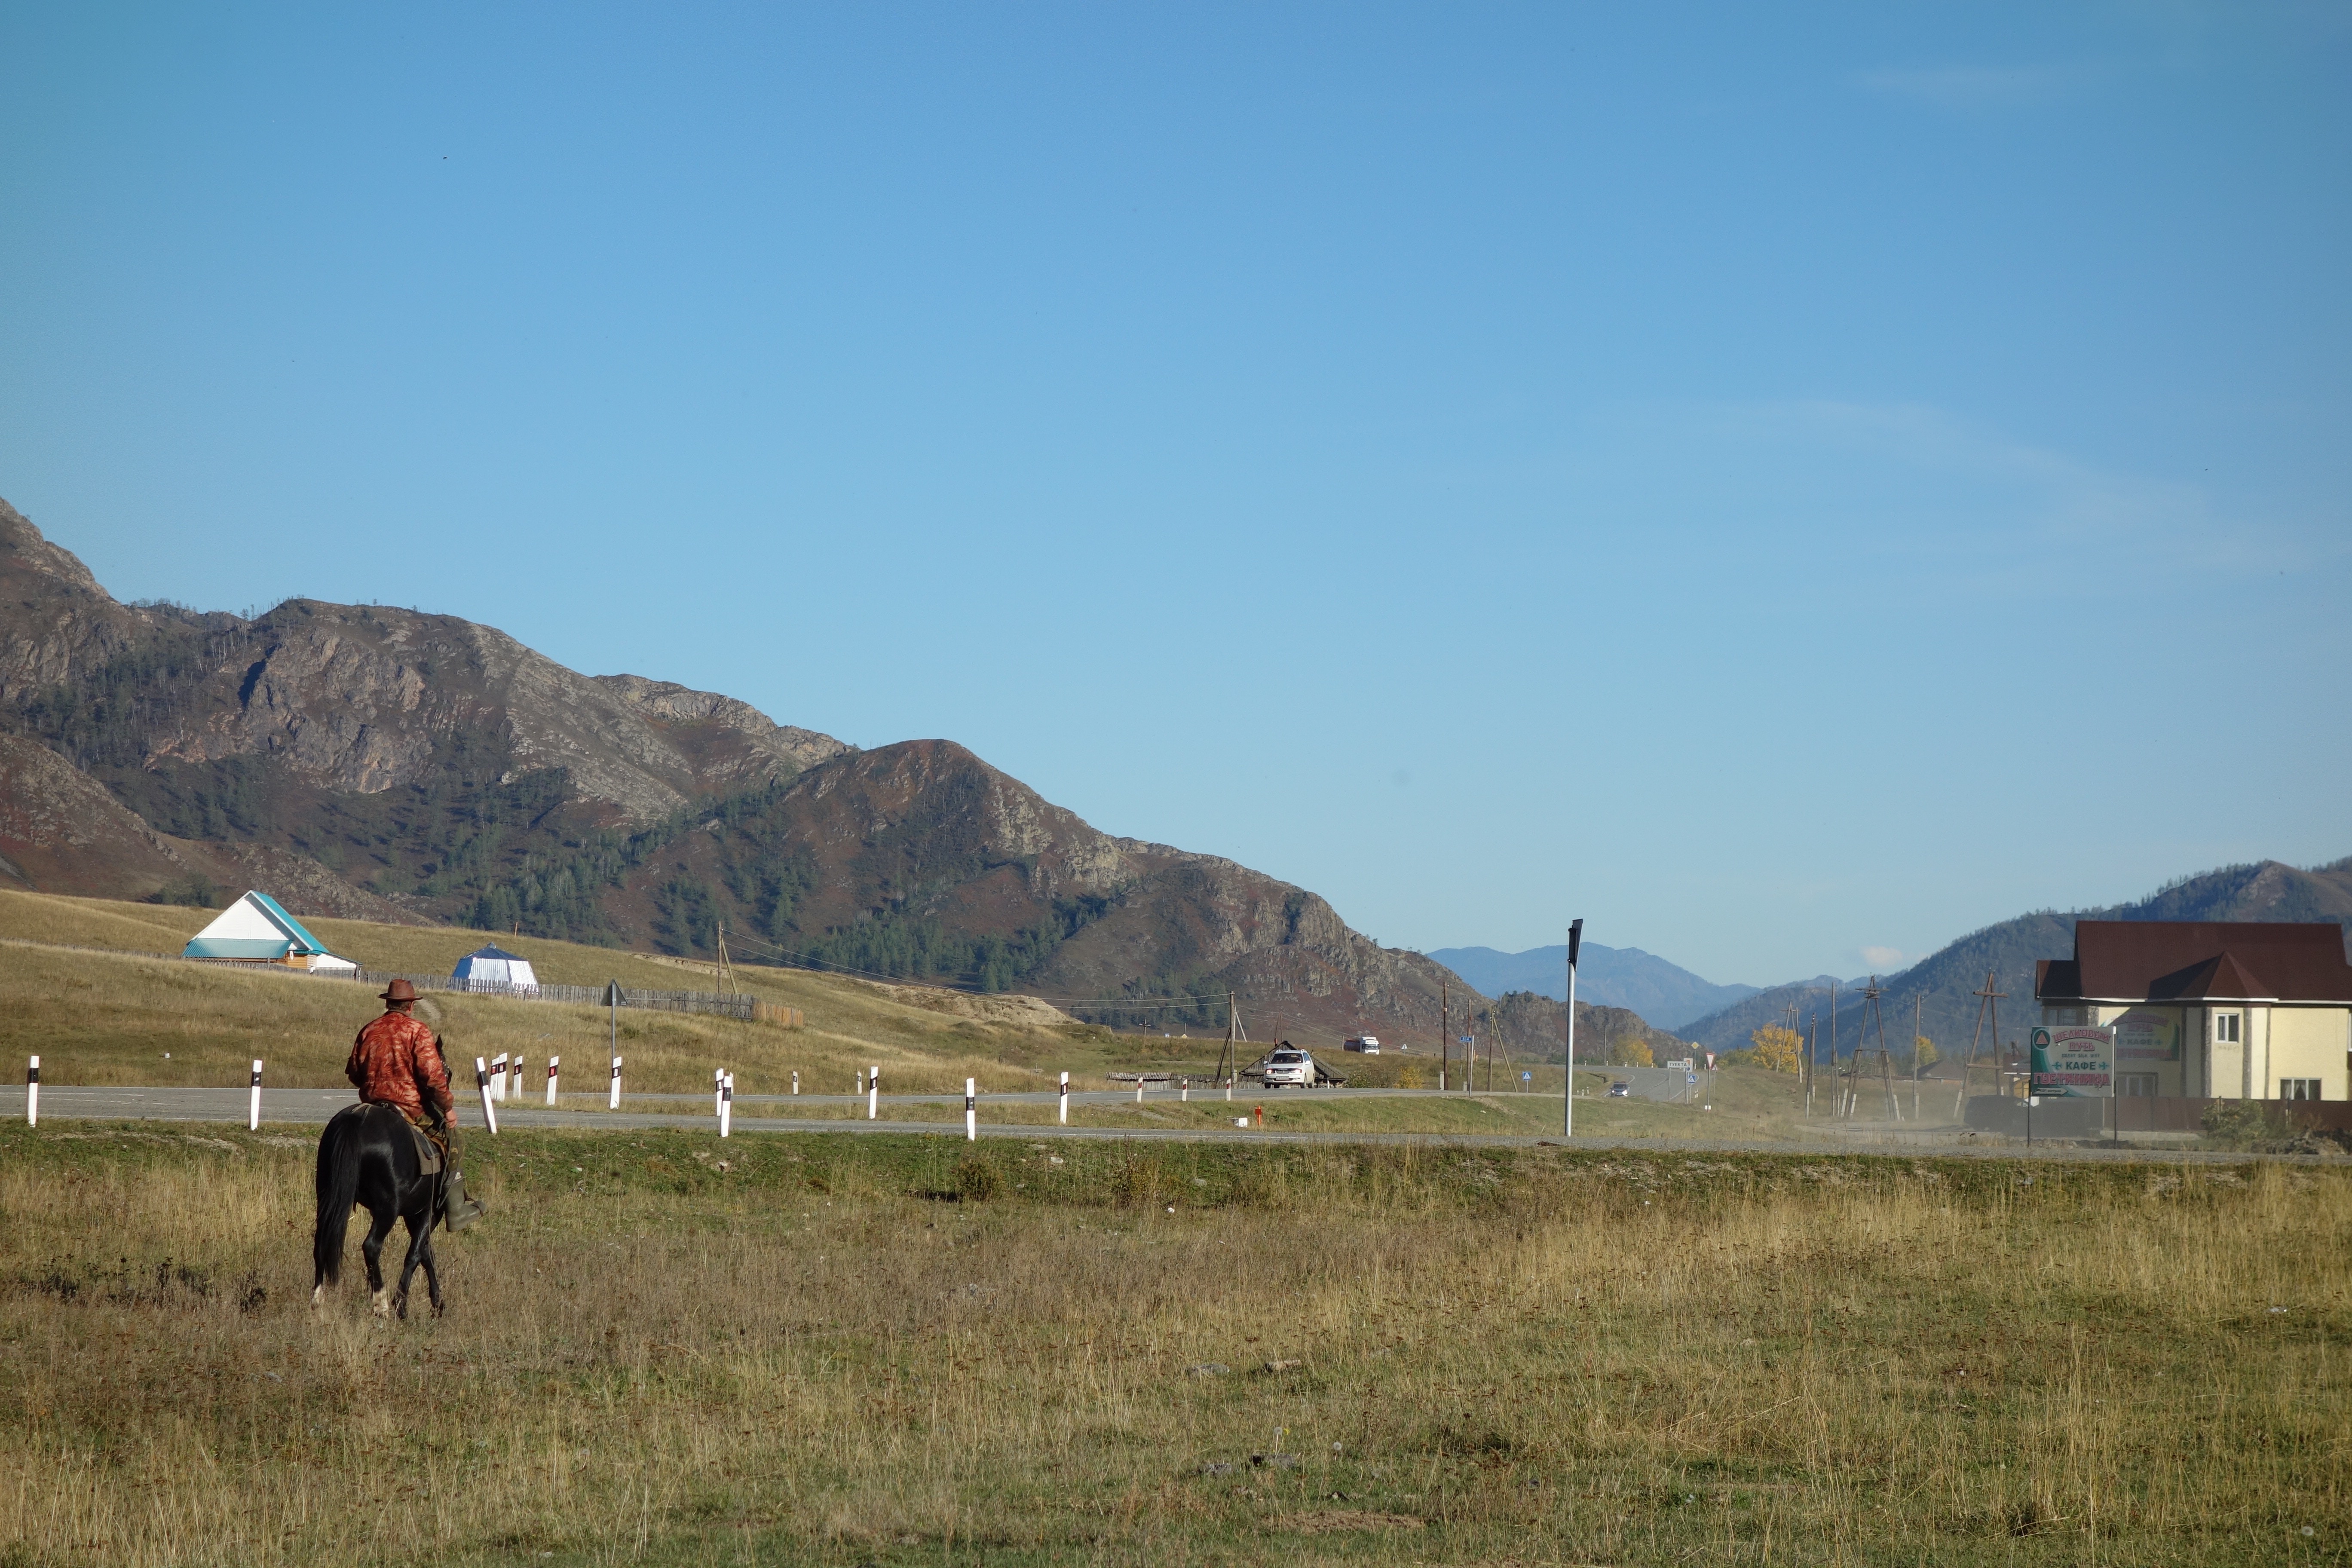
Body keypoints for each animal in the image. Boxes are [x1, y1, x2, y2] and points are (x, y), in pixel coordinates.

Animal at [312, 1103, 447, 1319]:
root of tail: (357, 1118)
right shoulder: (429, 1212)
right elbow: (415, 1255)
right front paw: (402, 1305)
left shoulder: (414, 1217)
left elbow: (425, 1253)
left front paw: (437, 1303)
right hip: (388, 1209)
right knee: (372, 1246)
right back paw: (381, 1303)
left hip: (326, 1196)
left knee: (321, 1241)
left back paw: (318, 1299)